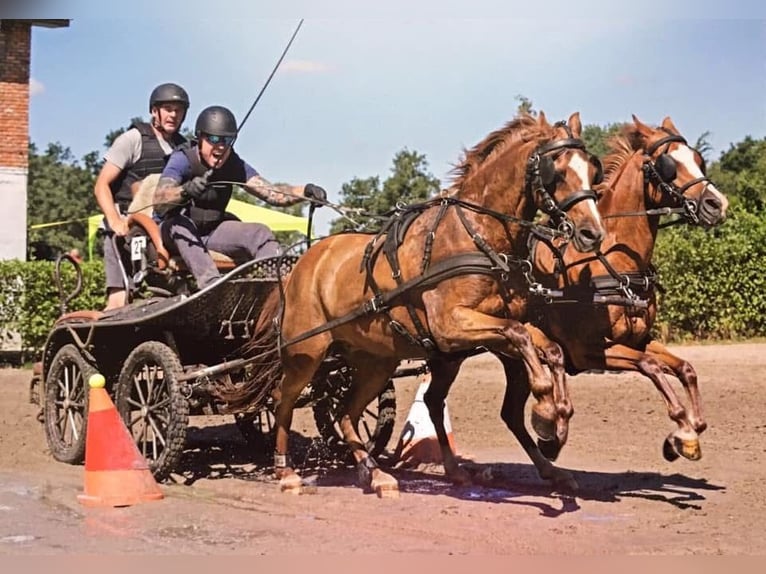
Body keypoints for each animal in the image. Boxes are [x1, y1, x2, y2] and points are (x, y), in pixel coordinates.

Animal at [244, 111, 608, 496]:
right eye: (557, 170)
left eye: (592, 169)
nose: (592, 234)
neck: (477, 235)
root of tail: (301, 264)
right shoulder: (451, 326)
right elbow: (519, 336)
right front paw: (544, 412)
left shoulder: (491, 325)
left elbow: (547, 347)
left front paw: (558, 421)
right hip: (306, 354)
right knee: (283, 400)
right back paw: (286, 472)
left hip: (374, 362)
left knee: (345, 412)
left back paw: (375, 474)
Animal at [426, 115, 732, 488]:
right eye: (668, 165)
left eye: (699, 160)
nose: (717, 204)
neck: (611, 262)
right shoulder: (589, 350)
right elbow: (651, 366)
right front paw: (682, 431)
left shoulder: (638, 340)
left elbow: (684, 368)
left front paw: (687, 434)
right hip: (450, 349)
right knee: (434, 400)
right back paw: (460, 467)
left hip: (508, 356)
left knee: (509, 413)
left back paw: (551, 464)